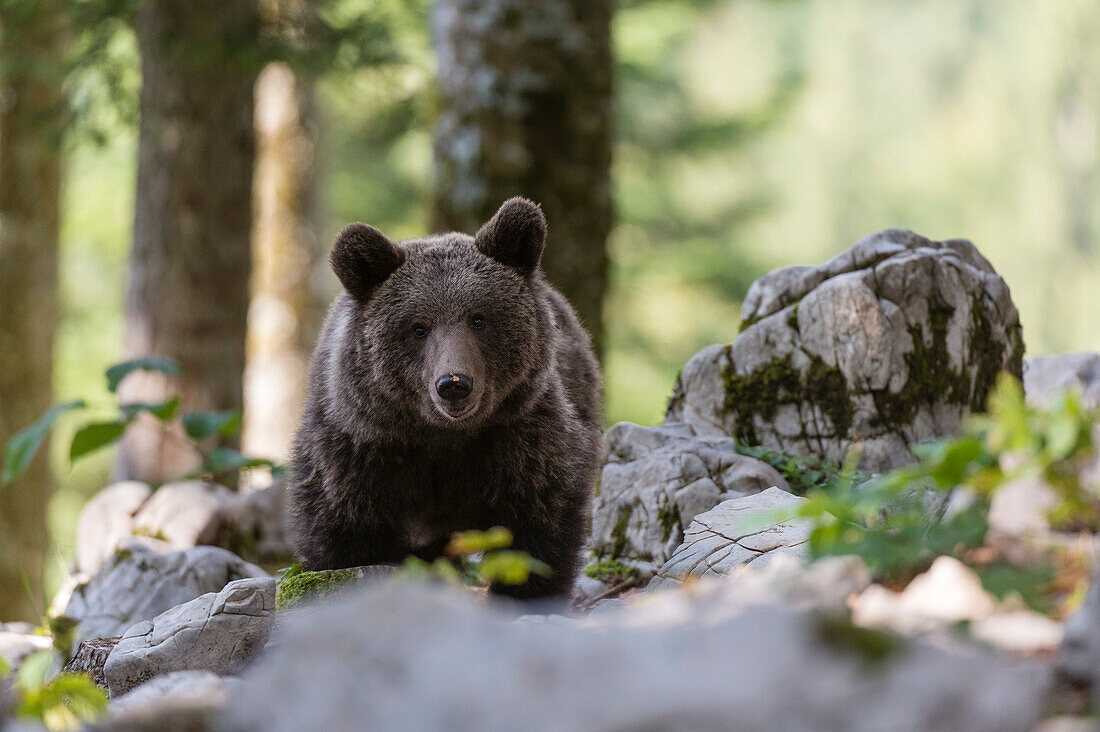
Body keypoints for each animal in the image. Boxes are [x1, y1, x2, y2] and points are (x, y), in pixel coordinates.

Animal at [286, 197, 602, 598]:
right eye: (418, 327)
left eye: (478, 318)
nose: (453, 383)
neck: (439, 437)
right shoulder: (360, 450)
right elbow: (344, 535)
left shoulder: (519, 437)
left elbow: (537, 527)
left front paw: (525, 593)